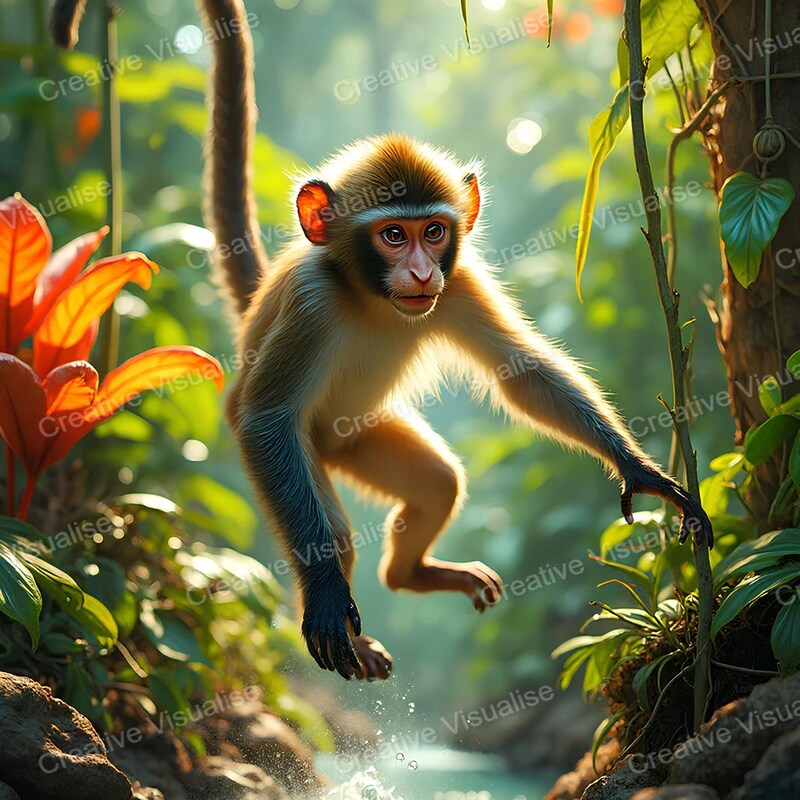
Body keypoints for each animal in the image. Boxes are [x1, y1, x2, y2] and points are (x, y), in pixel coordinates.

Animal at [51, 0, 712, 682]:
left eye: (433, 231)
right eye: (393, 234)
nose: (421, 272)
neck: (369, 296)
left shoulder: (459, 280)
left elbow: (519, 371)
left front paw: (638, 470)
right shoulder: (312, 299)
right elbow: (265, 420)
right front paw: (324, 591)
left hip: (359, 438)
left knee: (438, 480)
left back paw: (411, 575)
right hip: (307, 454)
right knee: (331, 521)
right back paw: (348, 608)